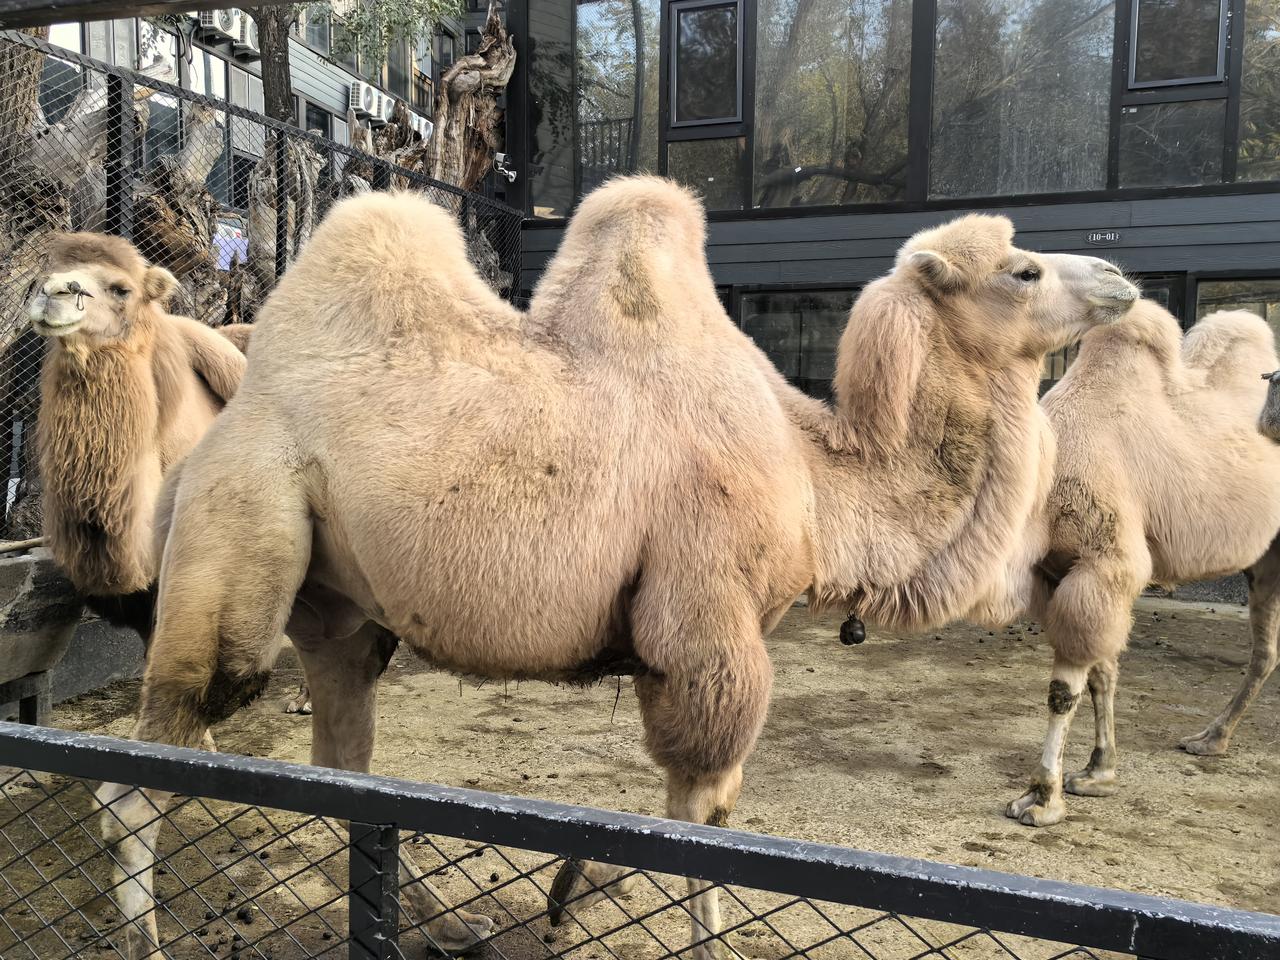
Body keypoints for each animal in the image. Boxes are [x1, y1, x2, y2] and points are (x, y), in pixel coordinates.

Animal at [95, 178, 1137, 960]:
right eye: (1022, 269)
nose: (1121, 275)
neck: (811, 468)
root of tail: (215, 434)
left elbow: (709, 812)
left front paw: (573, 889)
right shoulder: (705, 625)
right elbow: (703, 811)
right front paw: (623, 906)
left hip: (341, 603)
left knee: (345, 762)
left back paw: (437, 927)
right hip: (244, 515)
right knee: (147, 764)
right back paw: (148, 935)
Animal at [1004, 300, 1280, 827]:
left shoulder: (1105, 564)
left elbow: (1063, 689)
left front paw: (1042, 798)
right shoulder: (1058, 574)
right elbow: (1100, 673)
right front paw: (1099, 773)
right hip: (1264, 560)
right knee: (1266, 652)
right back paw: (1210, 740)